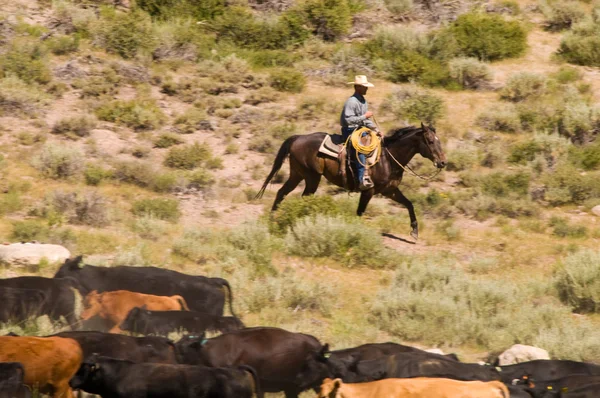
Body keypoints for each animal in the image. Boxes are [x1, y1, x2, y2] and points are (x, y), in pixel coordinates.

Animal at [254, 123, 446, 238]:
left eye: (439, 141)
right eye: (430, 141)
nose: (443, 162)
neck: (388, 158)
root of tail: (298, 137)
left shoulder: (390, 191)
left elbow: (409, 204)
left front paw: (414, 231)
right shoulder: (368, 191)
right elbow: (360, 212)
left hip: (297, 174)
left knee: (282, 192)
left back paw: (272, 218)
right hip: (311, 177)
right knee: (302, 197)